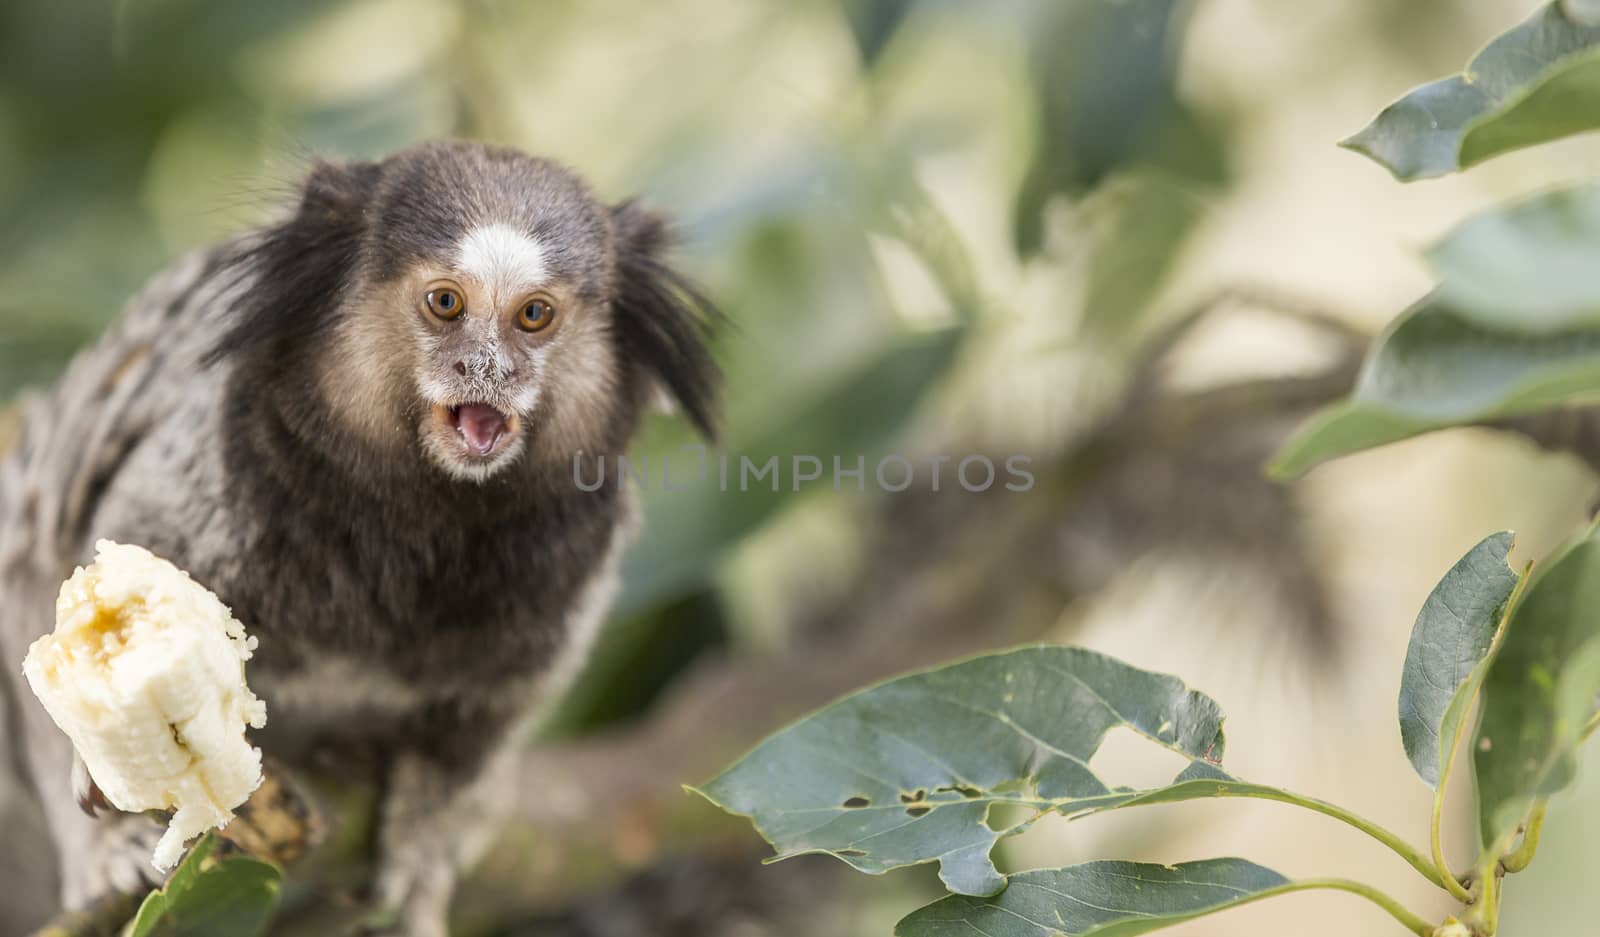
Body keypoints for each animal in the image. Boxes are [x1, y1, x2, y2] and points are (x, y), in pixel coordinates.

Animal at [0, 140, 720, 933]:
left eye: (535, 315)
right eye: (446, 303)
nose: (488, 370)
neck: (424, 512)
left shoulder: (567, 566)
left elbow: (486, 719)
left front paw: (427, 837)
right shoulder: (211, 472)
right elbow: (93, 584)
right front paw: (100, 790)